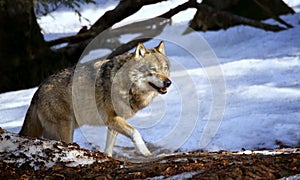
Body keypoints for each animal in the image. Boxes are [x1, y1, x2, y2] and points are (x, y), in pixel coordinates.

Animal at [19, 41, 171, 157]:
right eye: (153, 70)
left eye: (164, 69)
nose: (168, 82)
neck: (127, 85)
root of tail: (38, 90)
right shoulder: (112, 118)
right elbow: (136, 133)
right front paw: (147, 153)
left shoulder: (114, 122)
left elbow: (109, 147)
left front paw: (107, 158)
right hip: (66, 129)